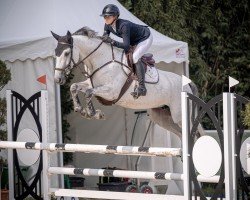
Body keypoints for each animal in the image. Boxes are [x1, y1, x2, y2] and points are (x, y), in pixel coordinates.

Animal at [52, 27, 199, 138]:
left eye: (66, 53)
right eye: (55, 53)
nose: (57, 79)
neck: (101, 60)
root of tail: (187, 84)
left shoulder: (111, 92)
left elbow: (88, 92)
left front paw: (93, 113)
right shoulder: (92, 85)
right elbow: (74, 86)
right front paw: (80, 109)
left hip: (180, 116)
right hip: (162, 117)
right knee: (181, 135)